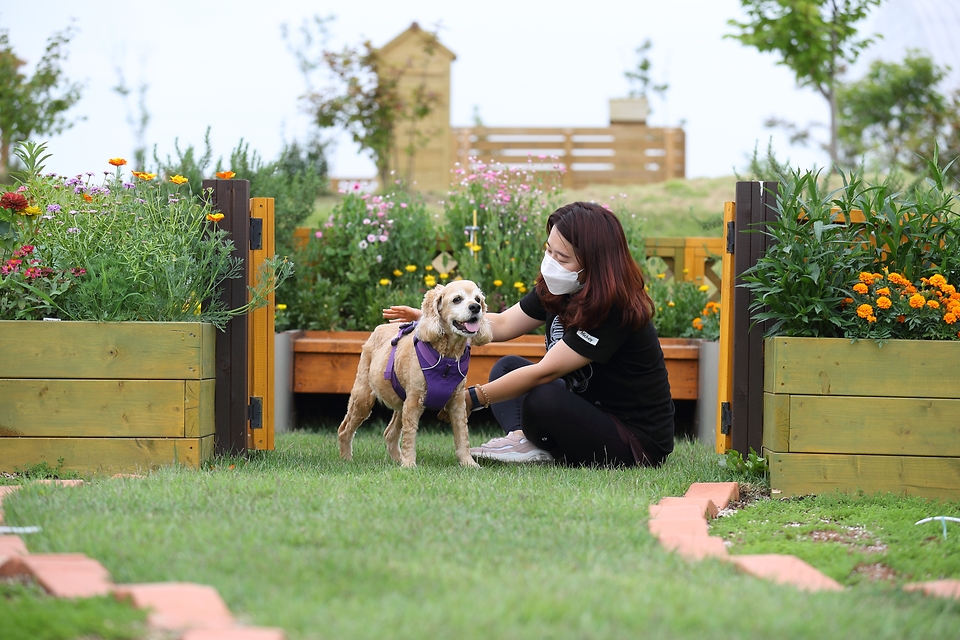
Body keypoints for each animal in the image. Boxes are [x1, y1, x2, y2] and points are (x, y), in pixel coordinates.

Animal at [336, 282, 488, 468]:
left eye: (478, 299)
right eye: (457, 299)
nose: (475, 307)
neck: (447, 357)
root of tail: (379, 327)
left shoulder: (457, 402)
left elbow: (462, 434)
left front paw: (468, 463)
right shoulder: (414, 401)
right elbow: (409, 435)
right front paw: (409, 464)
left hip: (400, 403)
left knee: (389, 433)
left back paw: (396, 459)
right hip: (362, 397)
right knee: (344, 429)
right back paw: (346, 459)